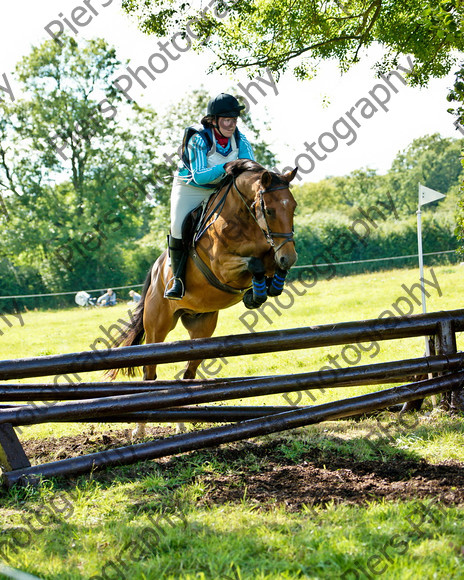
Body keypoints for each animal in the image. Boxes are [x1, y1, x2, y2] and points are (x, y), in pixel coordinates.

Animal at [107, 159, 300, 436]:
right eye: (270, 210)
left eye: (293, 207)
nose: (290, 257)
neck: (245, 220)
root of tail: (156, 270)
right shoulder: (223, 267)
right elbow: (254, 263)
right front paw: (257, 293)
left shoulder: (269, 252)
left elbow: (269, 264)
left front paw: (265, 289)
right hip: (157, 327)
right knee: (149, 373)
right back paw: (140, 430)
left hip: (202, 328)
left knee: (187, 375)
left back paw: (180, 423)